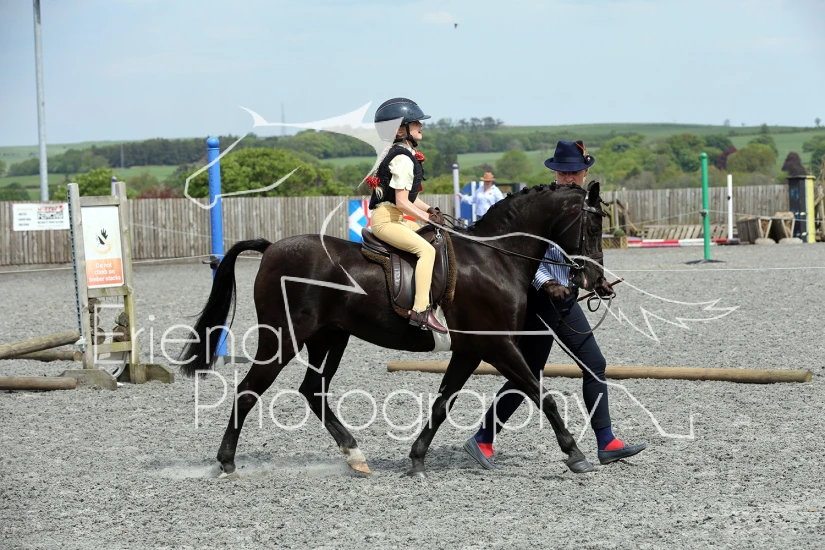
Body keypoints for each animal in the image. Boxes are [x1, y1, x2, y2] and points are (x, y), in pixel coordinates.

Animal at [180, 182, 608, 478]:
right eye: (591, 226)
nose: (596, 281)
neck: (494, 258)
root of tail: (271, 248)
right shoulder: (496, 345)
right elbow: (542, 394)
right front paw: (575, 454)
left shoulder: (469, 351)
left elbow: (442, 403)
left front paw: (416, 459)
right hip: (283, 337)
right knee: (249, 390)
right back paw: (227, 462)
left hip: (329, 338)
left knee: (313, 390)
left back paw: (355, 456)